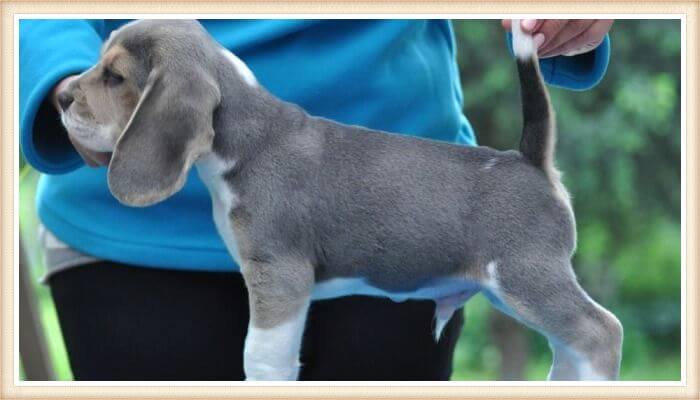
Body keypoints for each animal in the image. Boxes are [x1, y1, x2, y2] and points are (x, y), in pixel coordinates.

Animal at [56, 19, 624, 382]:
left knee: (601, 332)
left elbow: (261, 358)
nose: (60, 97)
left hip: (527, 277)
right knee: (569, 345)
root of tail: (529, 160)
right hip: (513, 289)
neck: (248, 139)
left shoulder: (278, 276)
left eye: (115, 77)